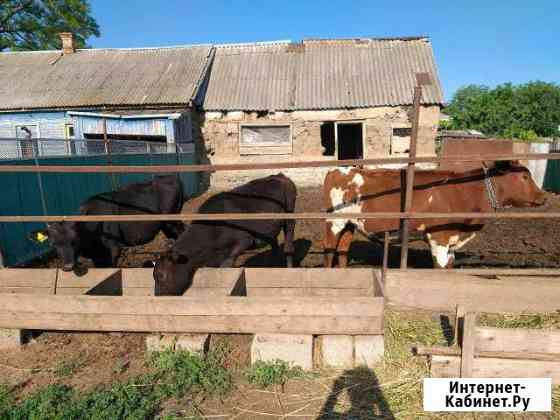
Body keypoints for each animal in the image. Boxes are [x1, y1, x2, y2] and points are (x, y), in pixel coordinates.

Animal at [30, 175, 186, 270]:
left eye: (74, 241)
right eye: (53, 244)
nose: (68, 266)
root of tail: (168, 176)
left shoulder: (114, 248)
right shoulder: (96, 255)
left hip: (172, 220)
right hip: (165, 225)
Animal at [153, 173, 298, 296]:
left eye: (161, 275)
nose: (158, 296)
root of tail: (279, 176)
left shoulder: (243, 241)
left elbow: (226, 266)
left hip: (289, 215)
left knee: (289, 243)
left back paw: (290, 268)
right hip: (271, 227)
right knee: (274, 243)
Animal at [324, 162, 548, 268]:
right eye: (524, 176)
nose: (544, 196)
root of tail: (341, 169)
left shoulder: (451, 241)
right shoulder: (439, 239)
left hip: (350, 223)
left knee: (343, 249)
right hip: (334, 222)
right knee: (329, 249)